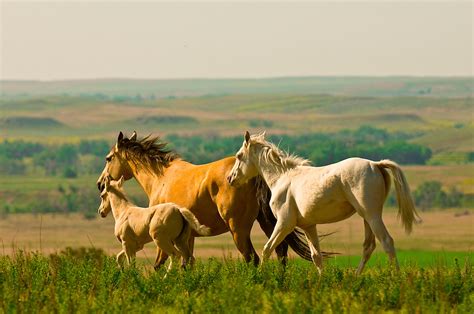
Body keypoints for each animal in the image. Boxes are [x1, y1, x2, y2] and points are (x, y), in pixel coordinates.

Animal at [96, 131, 312, 268]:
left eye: (108, 158)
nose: (99, 183)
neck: (160, 178)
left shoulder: (162, 237)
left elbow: (160, 263)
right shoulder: (188, 237)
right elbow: (187, 263)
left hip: (238, 229)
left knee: (253, 258)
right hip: (269, 223)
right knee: (280, 252)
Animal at [228, 131, 420, 274]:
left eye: (239, 155)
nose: (230, 178)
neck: (282, 178)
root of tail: (375, 164)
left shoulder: (284, 223)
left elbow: (267, 249)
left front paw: (260, 277)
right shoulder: (308, 226)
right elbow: (316, 256)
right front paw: (322, 281)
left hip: (372, 215)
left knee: (387, 242)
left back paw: (396, 278)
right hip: (367, 217)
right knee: (368, 246)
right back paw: (355, 277)